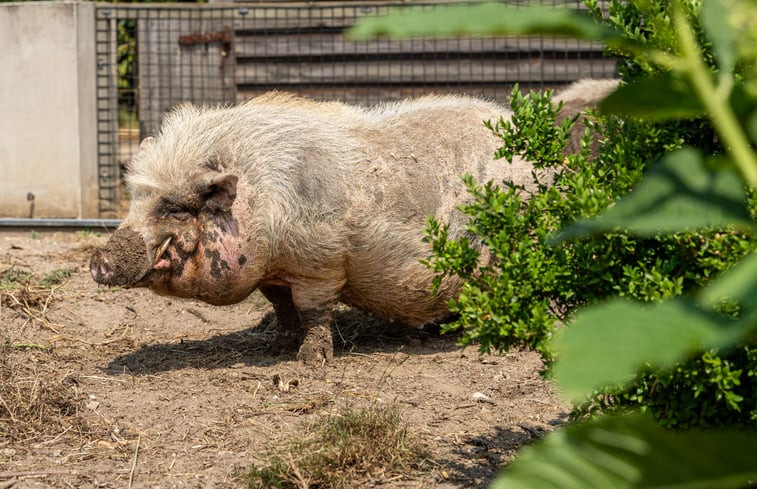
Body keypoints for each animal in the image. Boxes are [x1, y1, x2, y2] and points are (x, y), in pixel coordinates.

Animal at [91, 79, 616, 362]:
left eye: (174, 207)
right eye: (135, 200)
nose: (98, 260)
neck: (263, 200)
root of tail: (558, 171)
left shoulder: (321, 261)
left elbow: (314, 311)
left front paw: (310, 363)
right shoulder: (274, 273)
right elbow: (282, 310)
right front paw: (276, 349)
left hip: (530, 250)